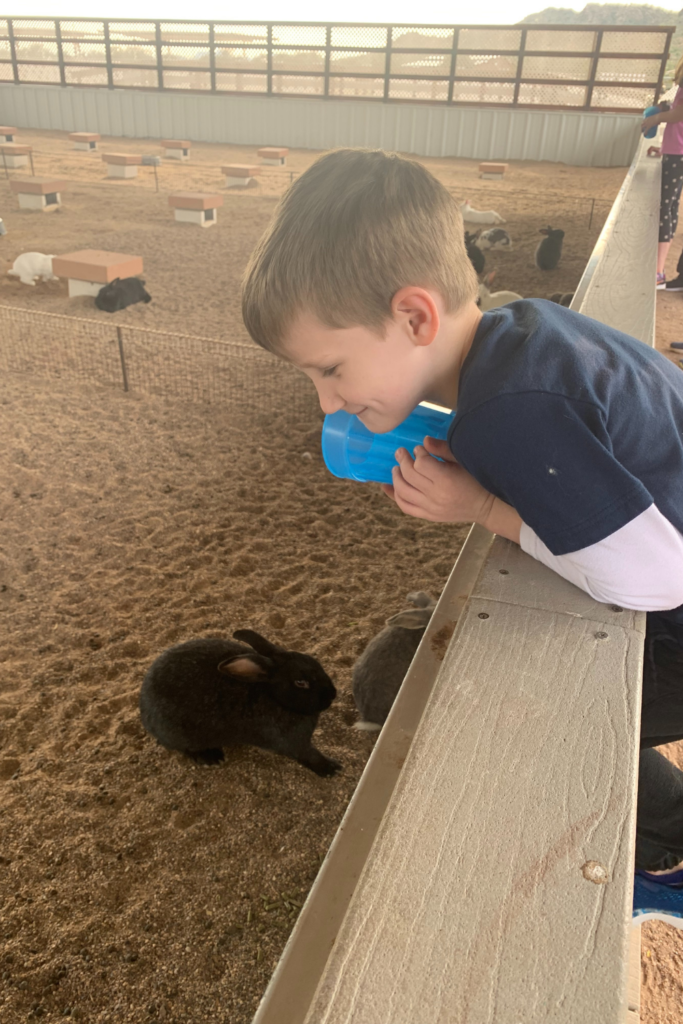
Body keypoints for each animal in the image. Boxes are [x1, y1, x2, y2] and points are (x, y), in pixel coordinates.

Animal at [139, 630, 342, 774]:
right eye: (301, 682)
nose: (332, 694)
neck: (274, 696)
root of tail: (145, 714)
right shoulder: (293, 743)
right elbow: (310, 755)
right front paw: (332, 768)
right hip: (181, 735)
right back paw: (212, 758)